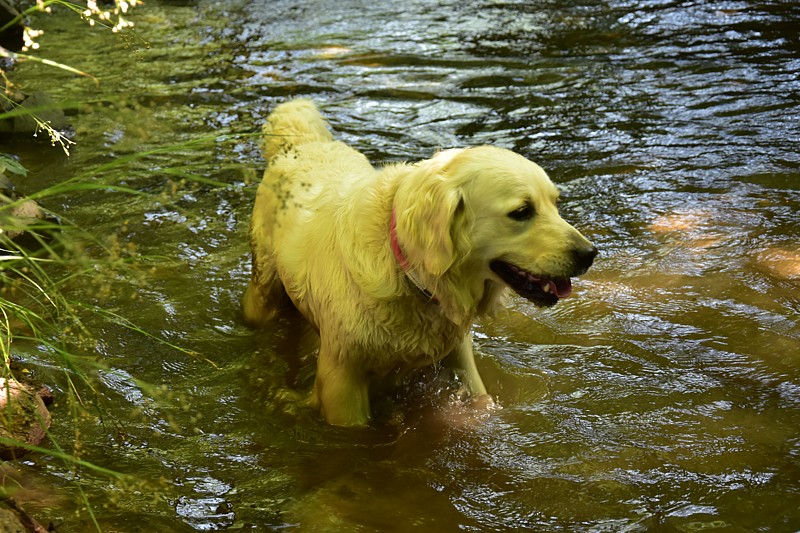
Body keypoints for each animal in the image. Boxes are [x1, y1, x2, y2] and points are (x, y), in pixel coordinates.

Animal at [244, 98, 600, 424]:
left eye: (555, 203)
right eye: (522, 211)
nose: (590, 254)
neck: (408, 270)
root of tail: (303, 143)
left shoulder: (458, 353)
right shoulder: (341, 381)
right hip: (264, 290)